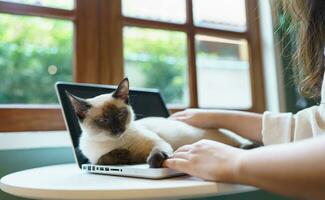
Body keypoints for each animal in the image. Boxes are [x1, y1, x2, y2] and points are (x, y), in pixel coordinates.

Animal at [67, 77, 247, 168]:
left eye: (120, 114)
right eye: (103, 120)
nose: (118, 129)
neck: (116, 143)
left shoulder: (156, 143)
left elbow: (156, 153)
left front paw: (153, 162)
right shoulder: (94, 159)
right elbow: (104, 159)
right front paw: (124, 155)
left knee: (241, 144)